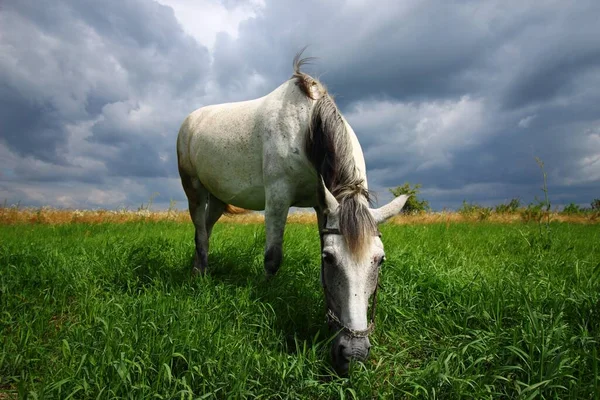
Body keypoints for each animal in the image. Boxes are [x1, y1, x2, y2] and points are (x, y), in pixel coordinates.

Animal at [173, 51, 408, 374]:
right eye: (331, 258)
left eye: (380, 260)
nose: (353, 353)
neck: (308, 129)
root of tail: (190, 120)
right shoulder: (278, 198)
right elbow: (273, 257)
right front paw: (265, 296)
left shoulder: (324, 205)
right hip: (193, 189)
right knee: (199, 232)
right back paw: (200, 276)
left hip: (219, 198)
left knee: (206, 230)